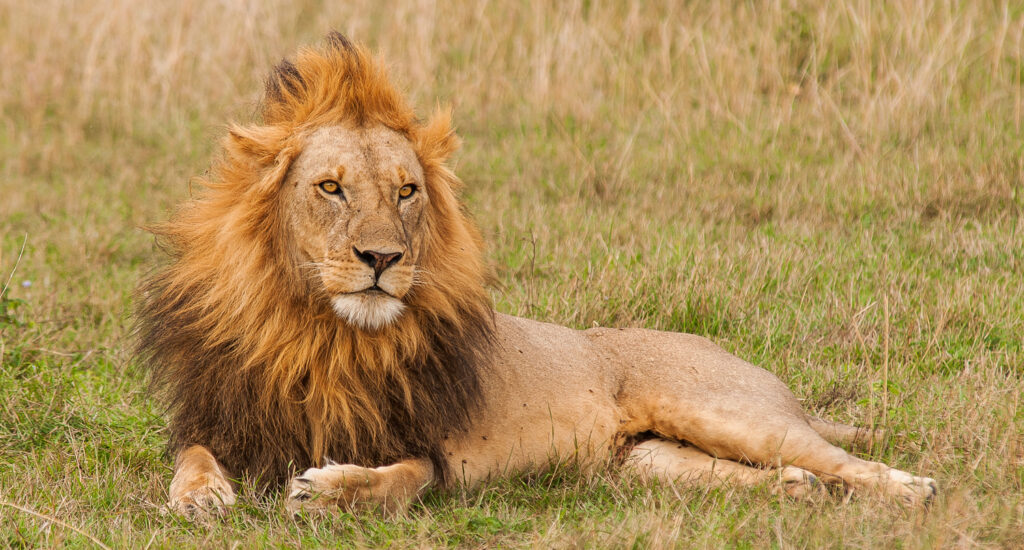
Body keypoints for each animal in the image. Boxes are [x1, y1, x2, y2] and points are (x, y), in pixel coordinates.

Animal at [136, 33, 936, 519]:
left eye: (406, 192)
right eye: (331, 188)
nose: (383, 260)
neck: (320, 333)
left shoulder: (434, 453)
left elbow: (395, 480)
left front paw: (333, 491)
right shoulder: (220, 417)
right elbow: (191, 456)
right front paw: (201, 497)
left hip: (727, 411)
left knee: (840, 458)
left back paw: (912, 489)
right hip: (649, 464)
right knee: (788, 477)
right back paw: (798, 491)